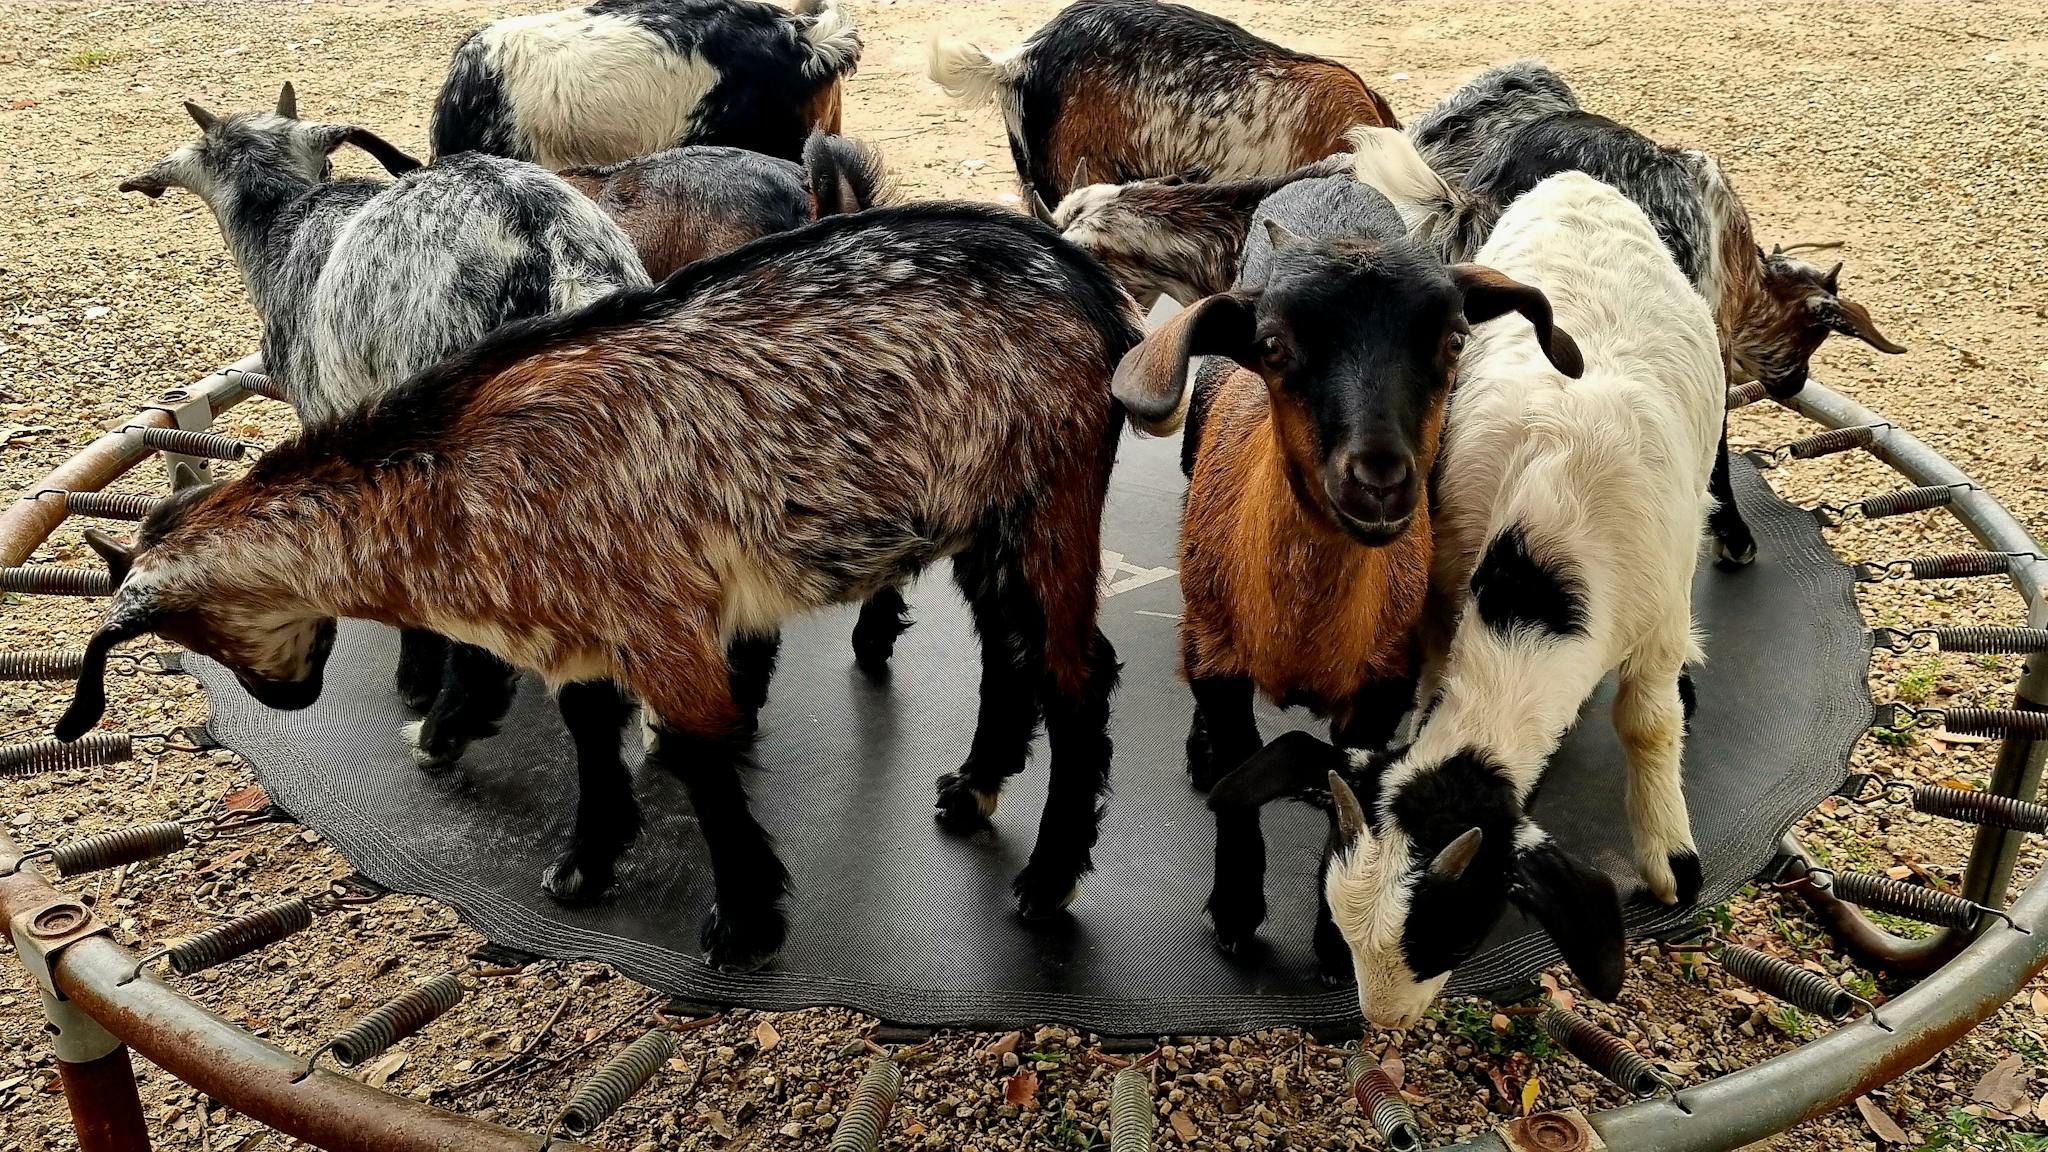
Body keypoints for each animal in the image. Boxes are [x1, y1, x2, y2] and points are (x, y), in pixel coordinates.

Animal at [56, 203, 1142, 973]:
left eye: (196, 636)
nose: (288, 697)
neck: (450, 476)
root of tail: (1086, 287)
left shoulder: (663, 621)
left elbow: (701, 757)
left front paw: (744, 923)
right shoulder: (573, 631)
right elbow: (587, 734)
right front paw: (585, 861)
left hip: (1045, 497)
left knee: (1079, 673)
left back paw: (1047, 880)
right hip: (982, 521)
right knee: (1011, 653)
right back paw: (972, 786)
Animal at [1109, 173, 1583, 974]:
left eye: (1455, 338)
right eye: (1272, 345)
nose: (1380, 482)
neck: (1300, 629)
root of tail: (1332, 180)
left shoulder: (1381, 687)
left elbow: (1349, 800)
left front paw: (1335, 943)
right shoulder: (1221, 664)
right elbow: (1238, 787)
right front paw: (1236, 913)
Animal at [1222, 172, 1723, 1028]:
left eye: (1453, 932)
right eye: (1339, 915)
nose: (1384, 1024)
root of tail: (1578, 182)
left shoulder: (1656, 618)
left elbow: (1648, 724)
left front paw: (1669, 856)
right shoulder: (1443, 593)